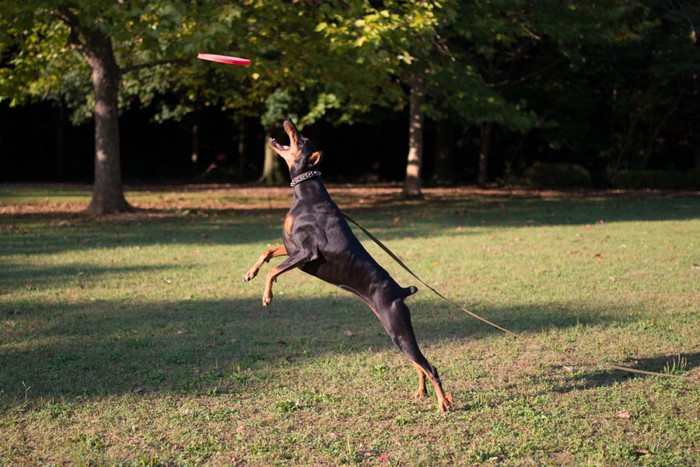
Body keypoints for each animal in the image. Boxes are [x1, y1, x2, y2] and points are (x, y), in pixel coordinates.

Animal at [243, 118, 452, 414]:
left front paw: (267, 296)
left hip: (397, 329)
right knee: (419, 365)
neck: (306, 193)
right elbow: (268, 252)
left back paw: (444, 403)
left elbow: (274, 269)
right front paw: (251, 272)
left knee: (429, 366)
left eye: (302, 139)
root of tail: (400, 291)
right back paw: (422, 393)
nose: (288, 120)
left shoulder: (307, 252)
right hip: (394, 333)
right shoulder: (292, 247)